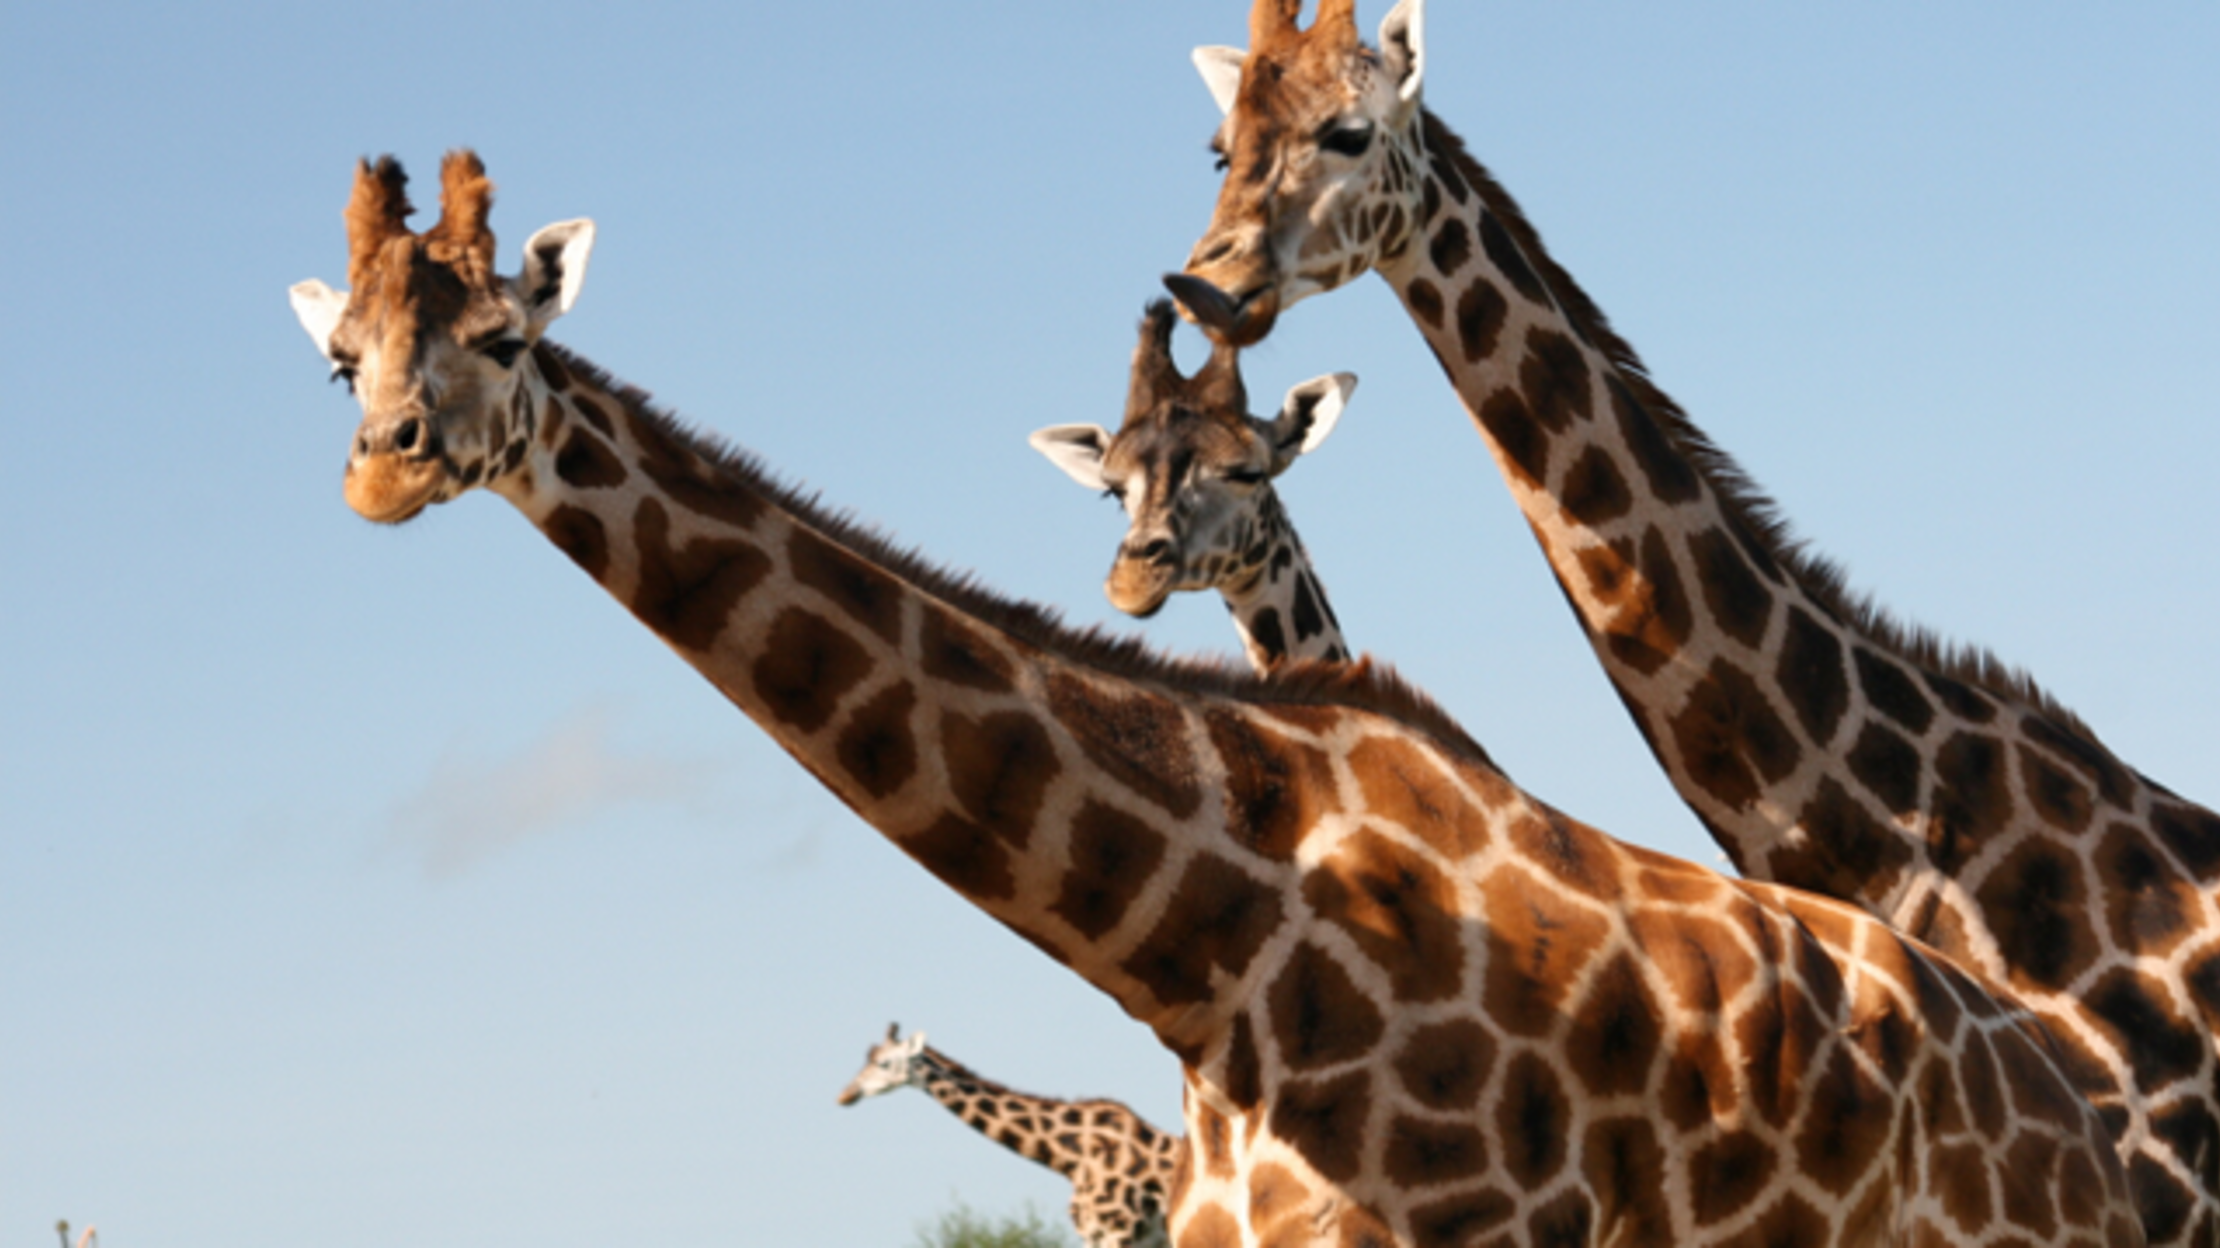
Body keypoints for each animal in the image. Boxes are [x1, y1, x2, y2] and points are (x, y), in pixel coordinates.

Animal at [837, 1022, 1181, 1248]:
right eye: (867, 1058)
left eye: (883, 1062)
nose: (845, 1095)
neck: (1071, 1155)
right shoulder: (1103, 1237)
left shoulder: (1118, 1234)